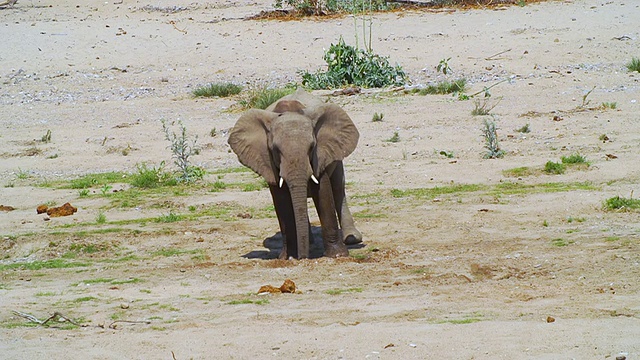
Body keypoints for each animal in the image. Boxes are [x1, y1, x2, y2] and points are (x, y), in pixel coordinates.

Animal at [229, 89, 360, 260]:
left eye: (312, 147)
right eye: (275, 149)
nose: (303, 258)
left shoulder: (321, 153)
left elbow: (323, 191)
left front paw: (338, 255)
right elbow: (281, 200)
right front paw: (287, 257)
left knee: (338, 187)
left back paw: (351, 238)